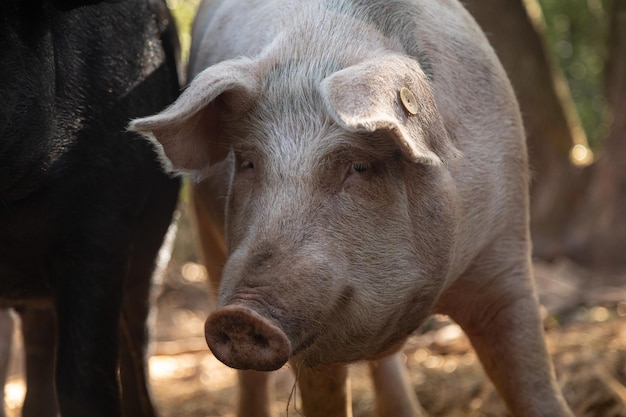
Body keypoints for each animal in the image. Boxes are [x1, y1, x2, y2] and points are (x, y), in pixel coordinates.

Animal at [129, 0, 572, 416]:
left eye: (358, 166)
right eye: (250, 162)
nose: (240, 315)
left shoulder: (505, 256)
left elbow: (536, 388)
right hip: (207, 238)